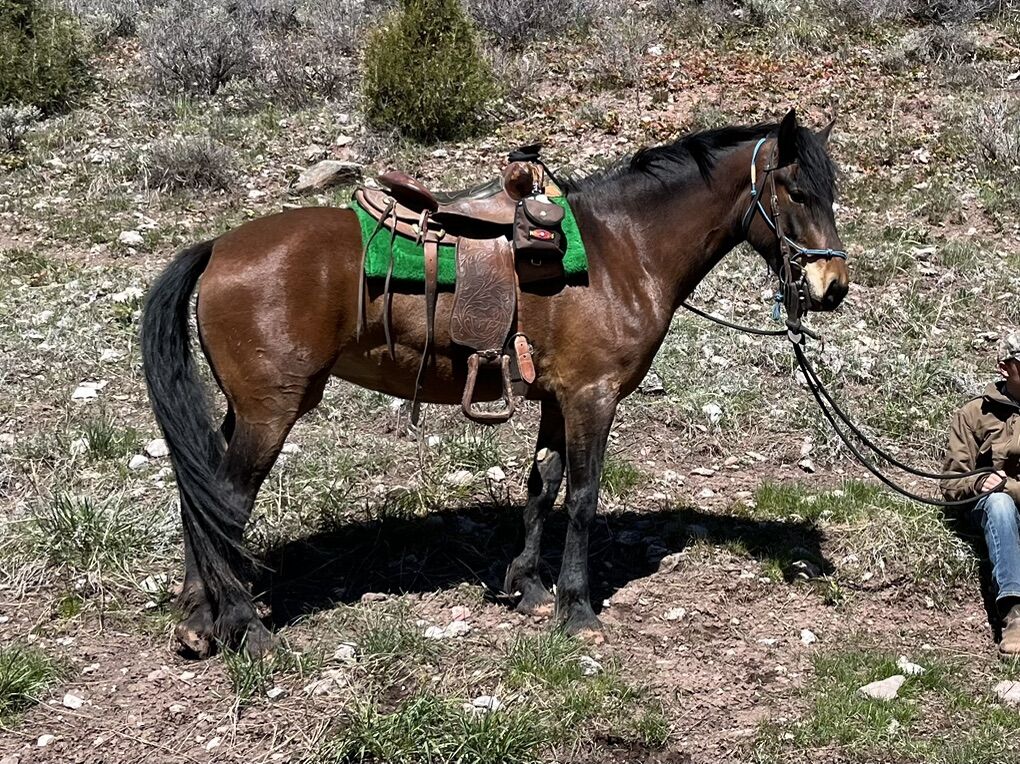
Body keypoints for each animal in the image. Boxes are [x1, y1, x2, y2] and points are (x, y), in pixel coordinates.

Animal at [142, 109, 850, 657]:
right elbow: (583, 497)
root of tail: (217, 248)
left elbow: (544, 485)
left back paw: (200, 621)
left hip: (242, 412)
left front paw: (528, 587)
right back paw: (247, 630)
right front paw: (576, 609)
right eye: (797, 192)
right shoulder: (592, 398)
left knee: (202, 499)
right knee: (225, 506)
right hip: (270, 412)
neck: (624, 251)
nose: (832, 287)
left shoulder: (560, 398)